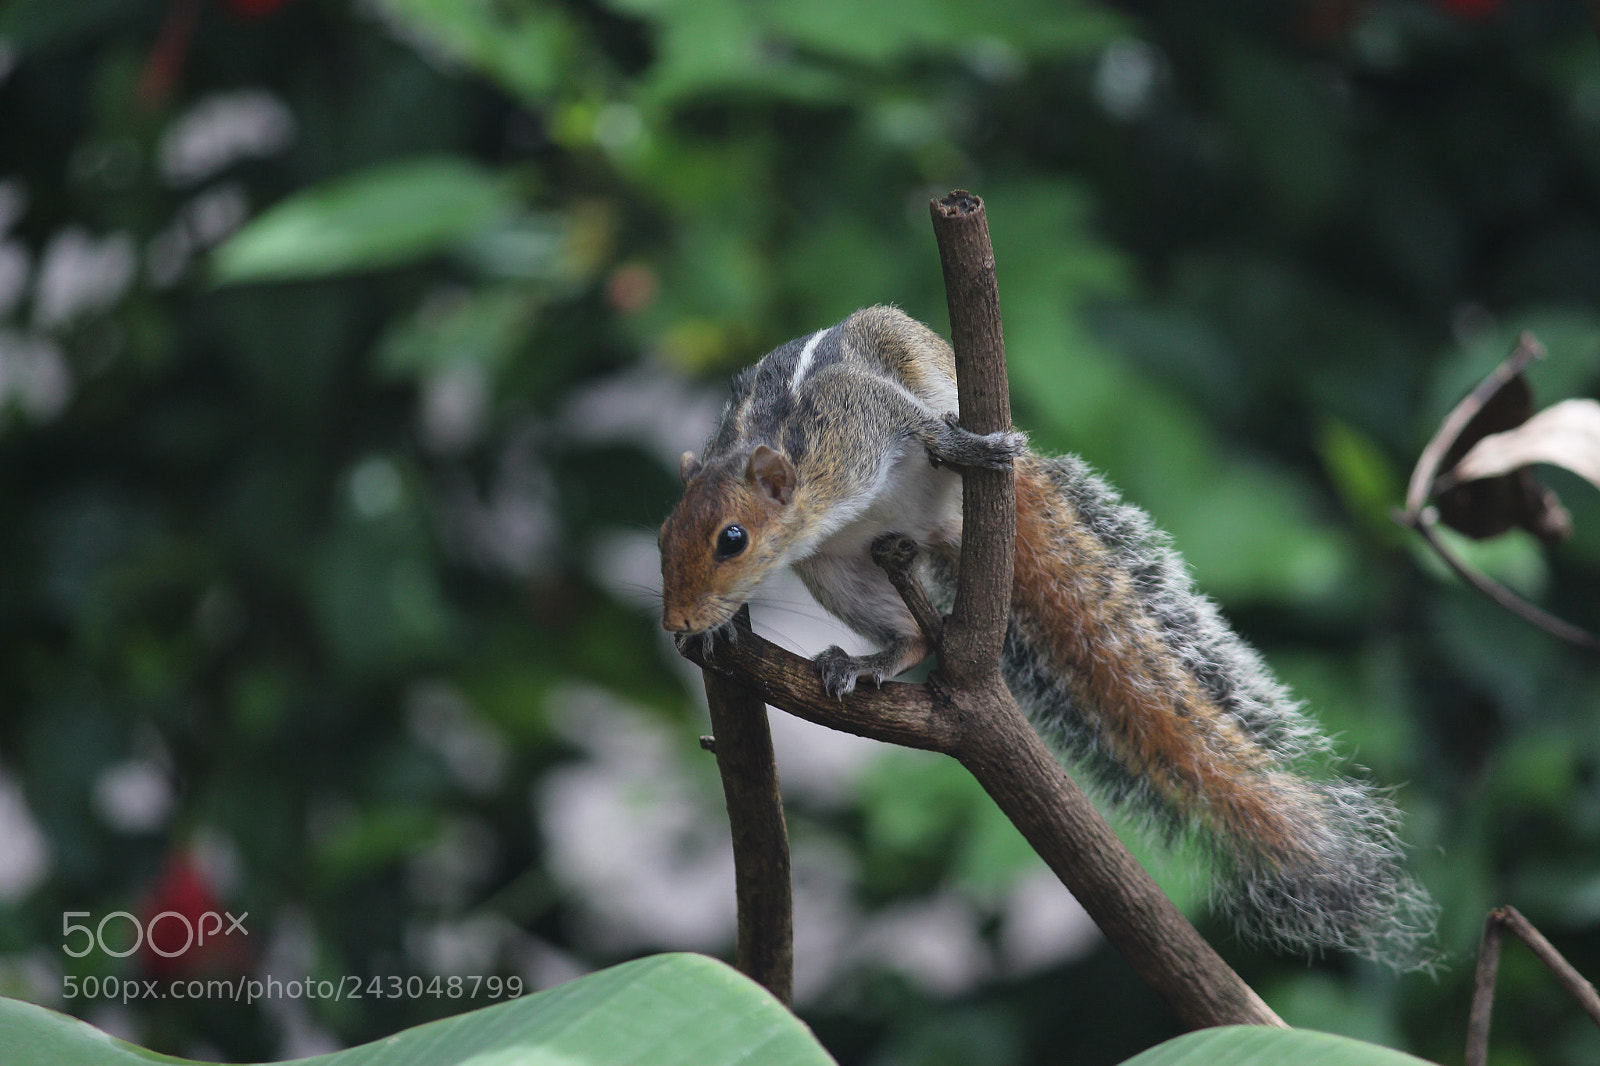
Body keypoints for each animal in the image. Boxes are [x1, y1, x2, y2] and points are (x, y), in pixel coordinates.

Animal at [658, 305, 1437, 966]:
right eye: (663, 536)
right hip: (839, 570)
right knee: (915, 634)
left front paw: (956, 441)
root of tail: (938, 528)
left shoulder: (859, 420)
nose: (675, 622)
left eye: (733, 539)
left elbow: (915, 424)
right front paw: (719, 633)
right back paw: (868, 660)